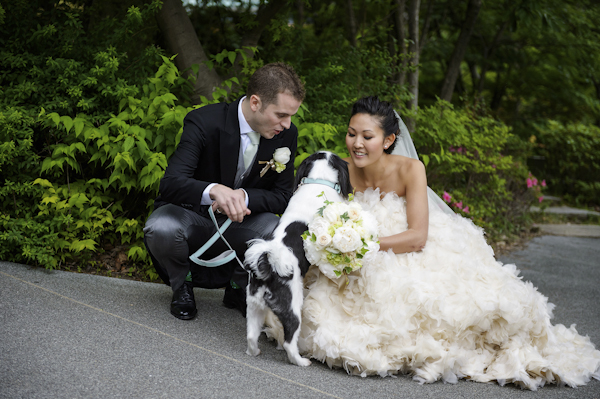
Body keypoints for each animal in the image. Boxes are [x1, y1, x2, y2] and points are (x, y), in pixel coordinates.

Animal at [243, 152, 352, 368]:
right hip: (292, 307)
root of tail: (270, 265)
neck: (318, 180)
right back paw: (301, 361)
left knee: (251, 335)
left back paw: (254, 351)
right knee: (289, 340)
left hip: (254, 305)